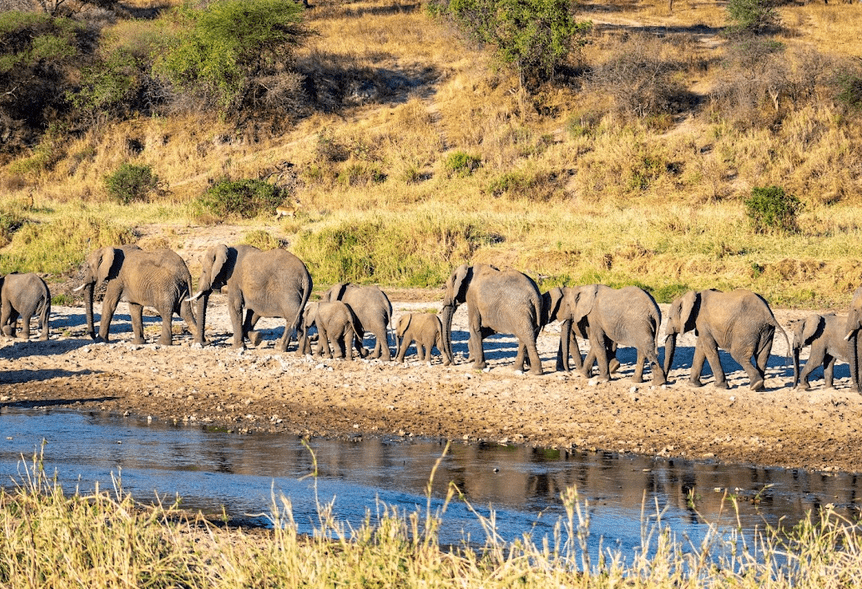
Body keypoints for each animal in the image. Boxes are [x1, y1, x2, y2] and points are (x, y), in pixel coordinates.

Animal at [664, 288, 792, 390]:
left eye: (669, 318)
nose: (666, 381)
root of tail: (768, 313)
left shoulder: (703, 322)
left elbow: (709, 349)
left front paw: (720, 386)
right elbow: (701, 348)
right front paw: (693, 385)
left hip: (746, 328)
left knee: (738, 355)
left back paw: (755, 385)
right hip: (766, 331)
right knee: (762, 357)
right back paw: (760, 387)